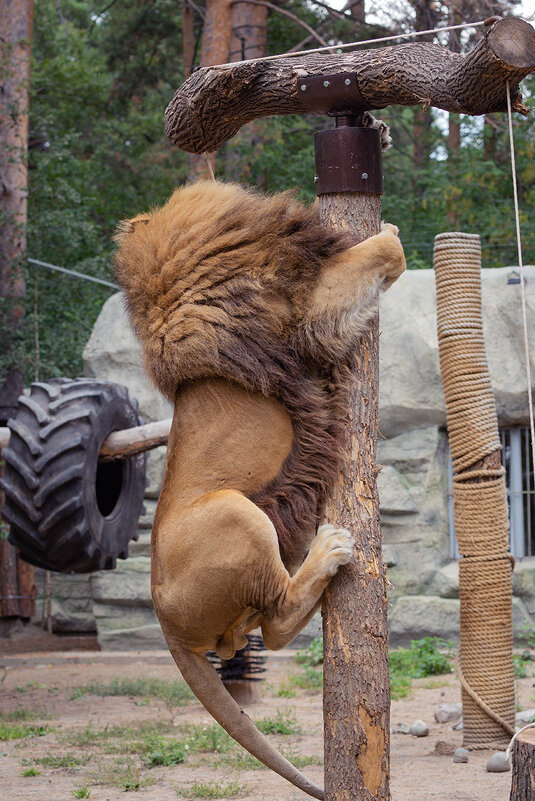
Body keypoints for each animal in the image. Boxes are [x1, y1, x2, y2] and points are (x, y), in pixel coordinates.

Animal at [114, 178, 406, 796]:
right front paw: (389, 232)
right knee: (275, 622)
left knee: (254, 631)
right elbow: (370, 260)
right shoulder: (303, 321)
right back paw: (330, 550)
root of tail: (163, 618)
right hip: (236, 513)